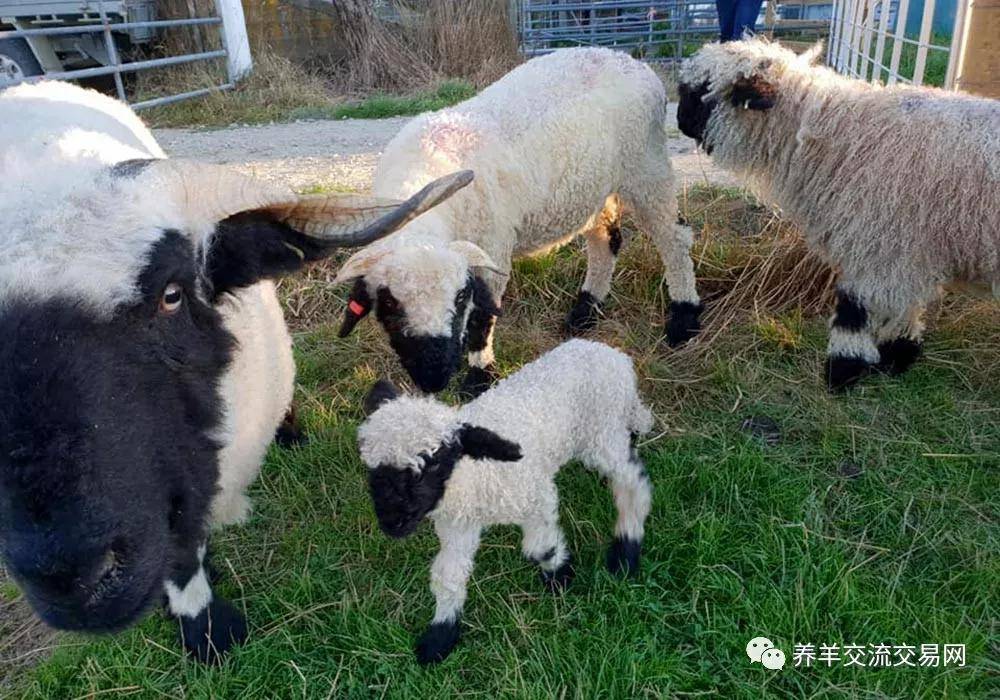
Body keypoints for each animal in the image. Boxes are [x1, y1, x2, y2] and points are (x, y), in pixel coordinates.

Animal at [332, 47, 700, 400]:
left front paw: (478, 378)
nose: (434, 378)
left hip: (647, 168)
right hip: (595, 185)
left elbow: (482, 319)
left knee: (674, 239)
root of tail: (632, 62)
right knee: (605, 241)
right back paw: (584, 311)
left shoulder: (492, 246)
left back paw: (684, 319)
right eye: (389, 303)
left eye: (460, 297)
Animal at [360, 342, 656, 664]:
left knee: (633, 485)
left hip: (601, 430)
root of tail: (614, 355)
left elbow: (541, 547)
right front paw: (440, 635)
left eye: (435, 463)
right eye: (372, 468)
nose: (392, 522)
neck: (474, 475)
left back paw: (625, 552)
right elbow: (448, 574)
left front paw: (559, 577)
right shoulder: (458, 526)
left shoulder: (535, 495)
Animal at [676, 38, 996, 392]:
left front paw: (843, 371)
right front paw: (898, 355)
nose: (679, 122)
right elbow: (904, 307)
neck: (837, 134)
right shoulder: (906, 247)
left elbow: (854, 310)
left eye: (703, 91)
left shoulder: (880, 241)